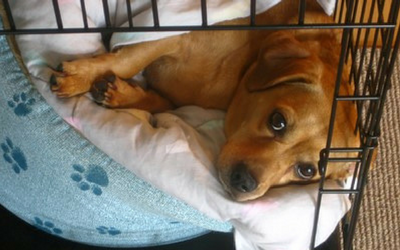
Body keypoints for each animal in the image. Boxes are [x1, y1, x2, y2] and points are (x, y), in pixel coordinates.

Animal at [48, 0, 358, 201]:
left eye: (307, 171)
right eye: (278, 121)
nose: (244, 183)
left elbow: (164, 102)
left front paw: (124, 94)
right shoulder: (171, 33)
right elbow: (127, 60)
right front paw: (79, 77)